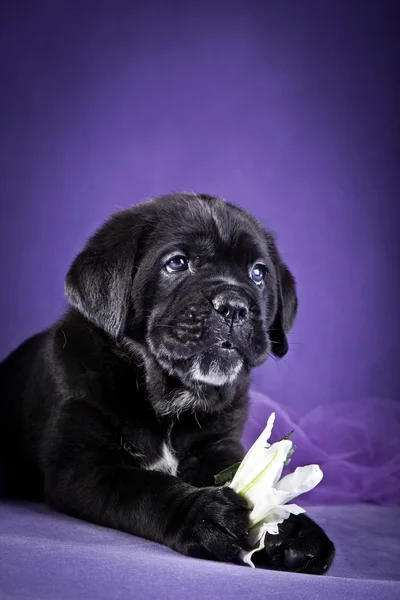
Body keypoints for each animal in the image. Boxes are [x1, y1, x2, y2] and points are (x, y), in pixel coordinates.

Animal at [0, 196, 334, 572]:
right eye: (177, 263)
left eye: (258, 273)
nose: (234, 307)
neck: (169, 398)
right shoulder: (81, 465)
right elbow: (144, 487)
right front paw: (201, 516)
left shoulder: (218, 448)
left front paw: (294, 529)